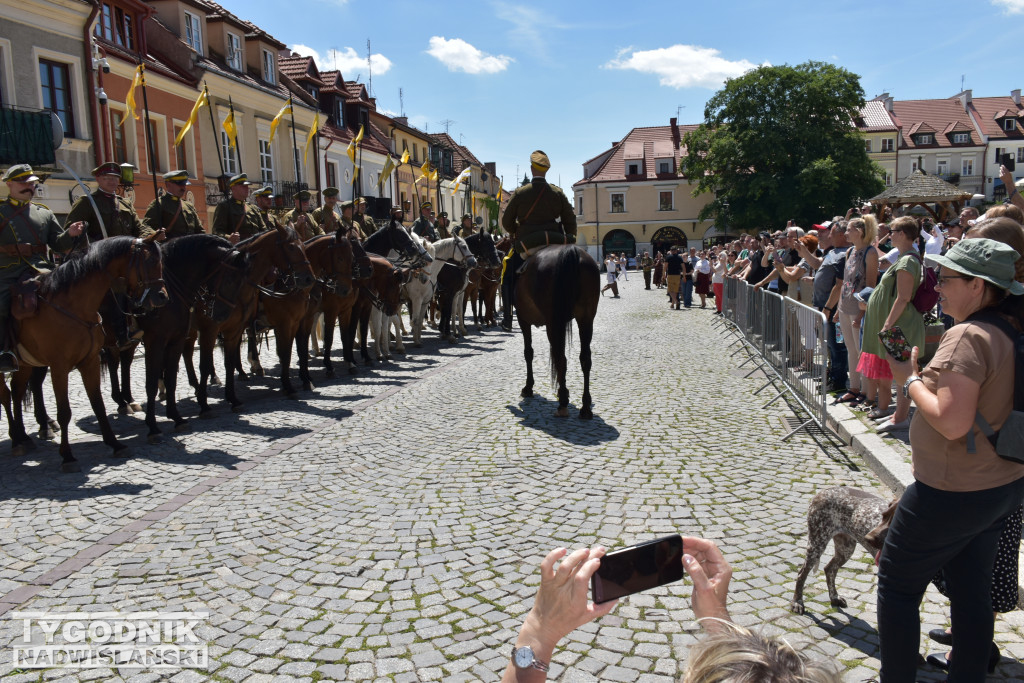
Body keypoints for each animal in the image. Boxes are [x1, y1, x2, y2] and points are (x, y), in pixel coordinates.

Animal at [4, 235, 163, 471]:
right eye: (150, 262)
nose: (162, 297)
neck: (74, 307)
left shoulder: (90, 360)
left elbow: (98, 401)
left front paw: (115, 442)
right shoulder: (59, 367)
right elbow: (65, 412)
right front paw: (67, 456)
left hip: (26, 362)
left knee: (17, 390)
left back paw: (26, 435)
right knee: (10, 394)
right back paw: (21, 436)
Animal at [512, 244, 598, 417]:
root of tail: (571, 251)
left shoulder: (523, 319)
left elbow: (528, 352)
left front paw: (528, 387)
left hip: (553, 323)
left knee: (560, 358)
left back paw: (563, 402)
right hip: (586, 319)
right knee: (585, 358)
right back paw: (585, 407)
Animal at [790, 485, 897, 614]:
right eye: (883, 517)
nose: (868, 538)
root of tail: (823, 491)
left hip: (845, 549)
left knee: (829, 569)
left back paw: (834, 597)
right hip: (817, 544)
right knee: (802, 574)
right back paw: (797, 602)